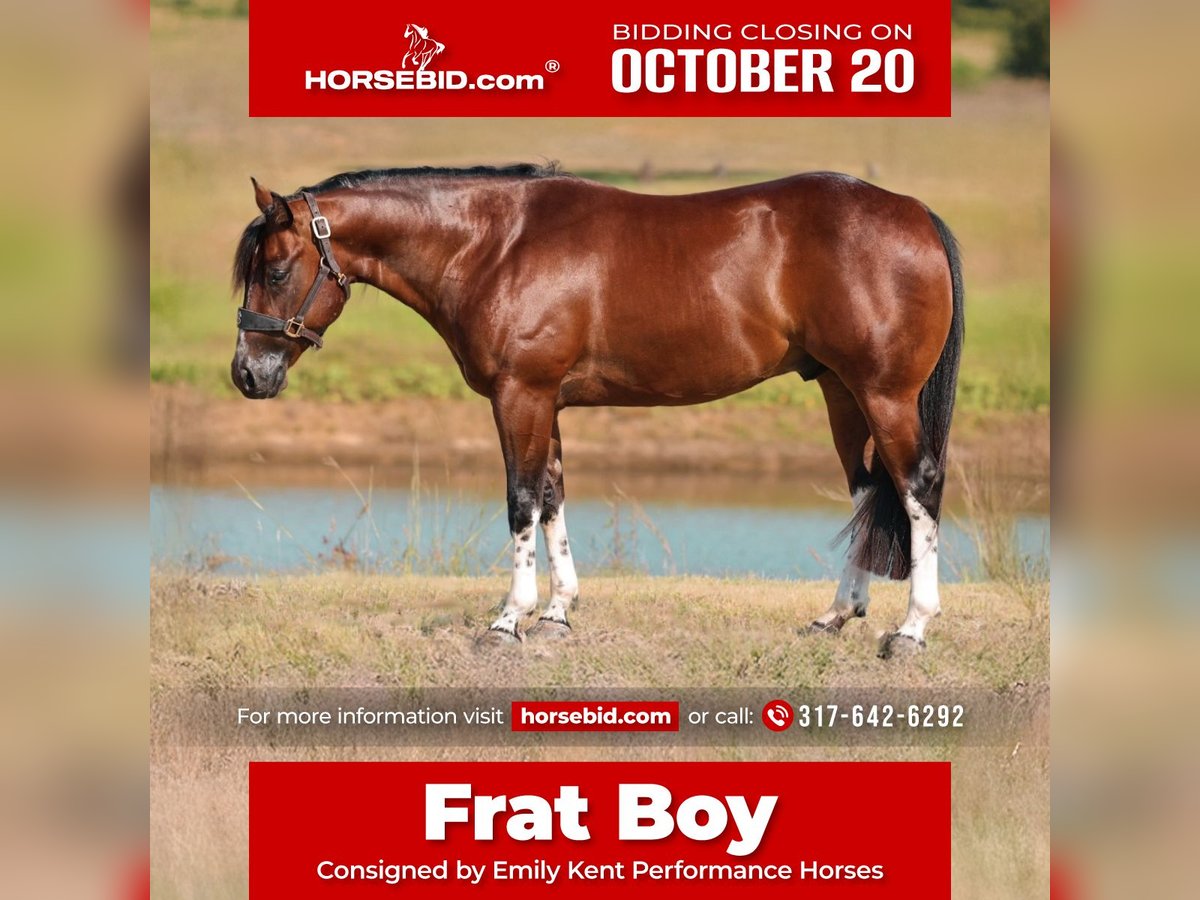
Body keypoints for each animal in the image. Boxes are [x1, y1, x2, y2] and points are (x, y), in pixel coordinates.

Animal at [231, 165, 963, 658]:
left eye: (274, 271)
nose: (246, 375)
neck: (494, 246)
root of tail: (917, 214)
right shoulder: (544, 400)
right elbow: (553, 496)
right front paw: (557, 614)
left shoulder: (520, 394)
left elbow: (522, 500)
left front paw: (508, 621)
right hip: (841, 390)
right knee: (868, 490)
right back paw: (836, 615)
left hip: (883, 394)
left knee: (917, 487)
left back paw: (911, 629)